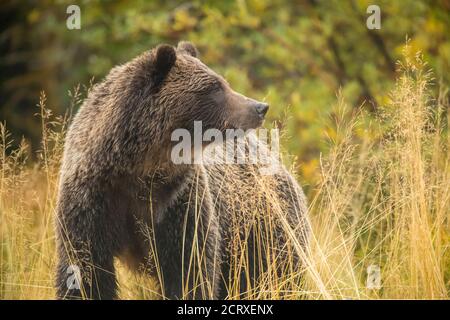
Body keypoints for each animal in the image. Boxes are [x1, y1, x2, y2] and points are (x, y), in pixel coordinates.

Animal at [55, 42, 310, 300]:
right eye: (215, 87)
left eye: (223, 82)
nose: (260, 107)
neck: (139, 170)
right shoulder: (92, 202)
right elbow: (86, 272)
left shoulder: (180, 205)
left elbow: (190, 270)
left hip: (262, 228)